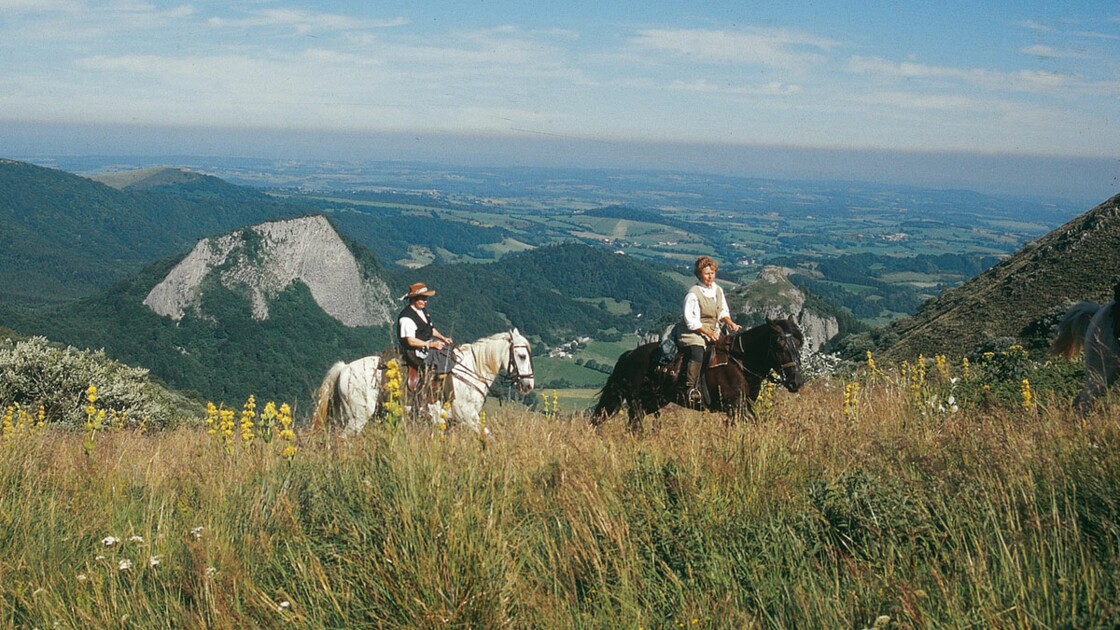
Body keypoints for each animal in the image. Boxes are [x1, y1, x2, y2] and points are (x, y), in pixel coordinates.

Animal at [309, 329, 530, 430]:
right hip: (358, 416)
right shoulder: (467, 416)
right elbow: (487, 436)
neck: (472, 370)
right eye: (521, 356)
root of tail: (345, 368)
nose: (528, 385)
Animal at [591, 316, 801, 428]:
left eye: (799, 343)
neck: (740, 362)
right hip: (637, 403)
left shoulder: (745, 406)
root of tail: (630, 355)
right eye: (779, 345)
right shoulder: (734, 407)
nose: (796, 382)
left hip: (652, 401)